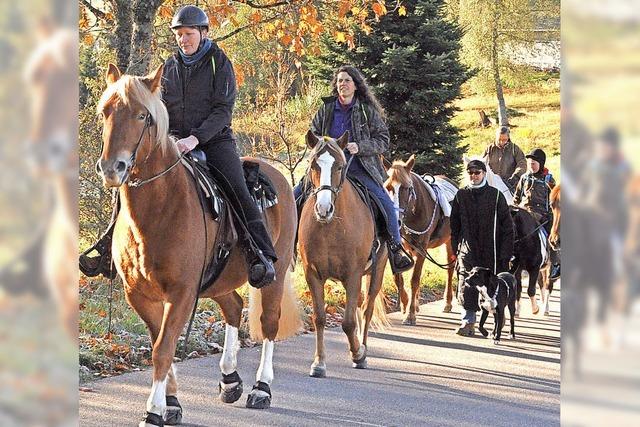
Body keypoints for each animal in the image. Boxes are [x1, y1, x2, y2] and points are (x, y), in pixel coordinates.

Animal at [97, 63, 302, 424]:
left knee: (269, 322)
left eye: (141, 115)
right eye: (105, 112)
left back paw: (261, 388)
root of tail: (275, 174)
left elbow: (163, 349)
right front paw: (171, 403)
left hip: (272, 275)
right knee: (234, 307)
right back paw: (230, 379)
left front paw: (153, 411)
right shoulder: (139, 294)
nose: (112, 168)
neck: (159, 209)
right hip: (218, 280)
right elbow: (159, 344)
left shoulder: (182, 292)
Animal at [300, 133, 390, 378]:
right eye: (313, 165)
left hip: (376, 271)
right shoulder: (312, 274)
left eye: (340, 166)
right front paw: (319, 363)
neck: (330, 227)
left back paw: (363, 347)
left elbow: (348, 322)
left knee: (367, 308)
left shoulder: (353, 275)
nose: (323, 209)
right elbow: (319, 318)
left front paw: (358, 353)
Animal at [382, 155, 458, 326]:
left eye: (407, 188)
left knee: (450, 269)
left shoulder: (421, 248)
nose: (394, 220)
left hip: (450, 241)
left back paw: (447, 302)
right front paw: (406, 305)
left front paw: (410, 315)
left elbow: (414, 280)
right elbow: (399, 278)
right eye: (387, 187)